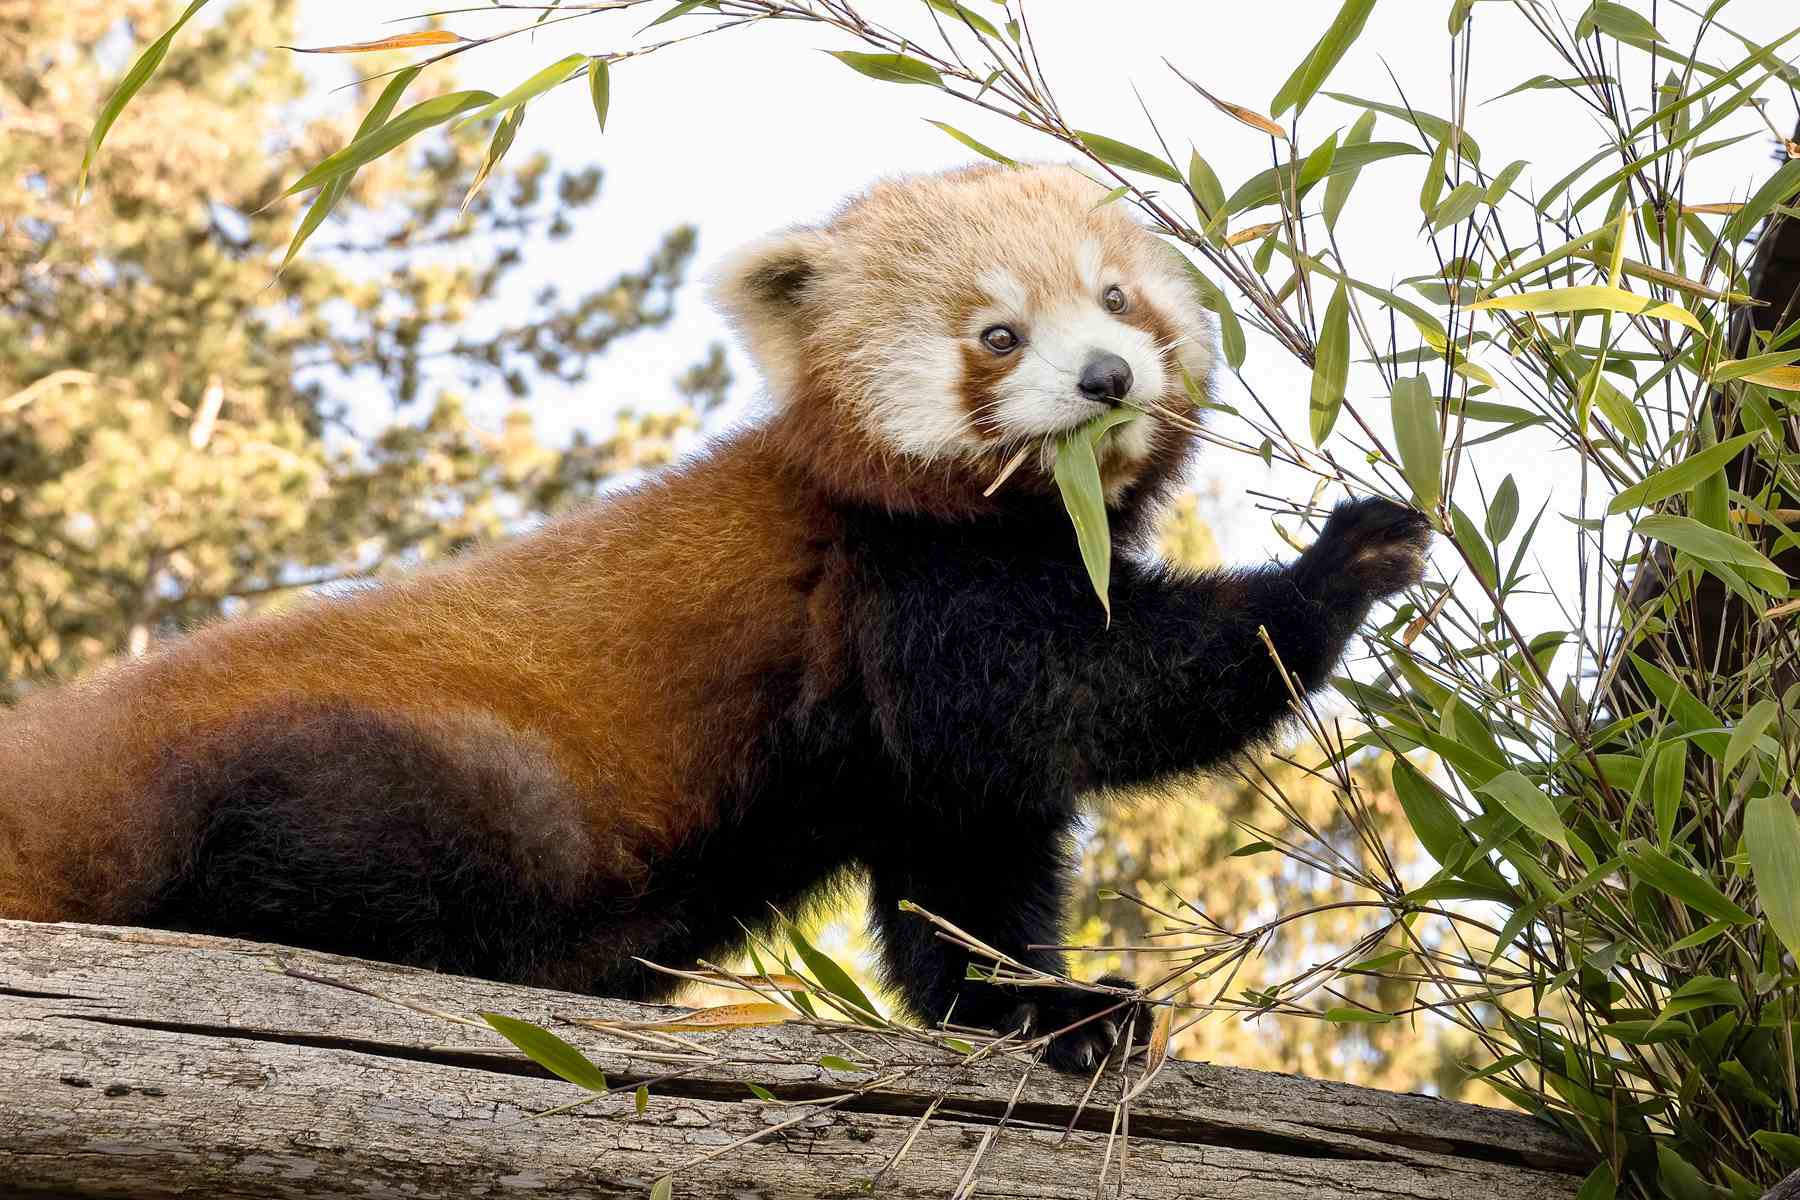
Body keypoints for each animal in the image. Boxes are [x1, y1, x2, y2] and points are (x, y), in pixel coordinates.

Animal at [0, 163, 1429, 1071]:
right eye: (998, 335)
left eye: (1118, 296)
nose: (1106, 379)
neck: (1040, 519)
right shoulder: (905, 581)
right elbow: (1097, 690)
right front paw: (1339, 565)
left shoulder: (905, 746)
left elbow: (965, 877)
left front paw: (1042, 1009)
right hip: (402, 763)